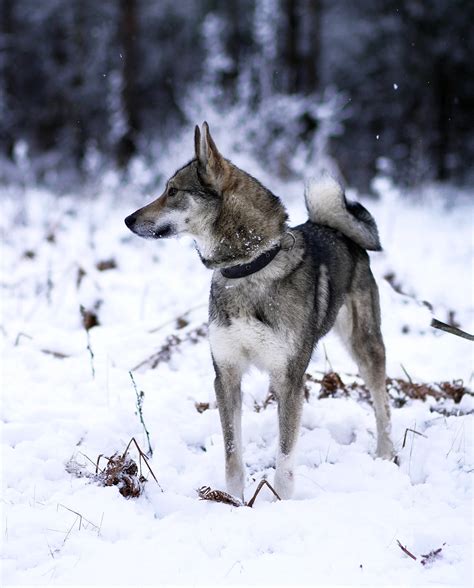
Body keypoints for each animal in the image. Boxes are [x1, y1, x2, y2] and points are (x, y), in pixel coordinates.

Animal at [124, 121, 394, 498]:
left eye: (173, 191)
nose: (128, 219)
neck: (247, 268)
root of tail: (336, 228)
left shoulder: (290, 379)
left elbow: (285, 456)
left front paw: (280, 501)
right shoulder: (227, 374)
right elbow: (232, 453)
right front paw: (233, 500)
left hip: (365, 346)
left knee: (382, 404)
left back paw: (386, 455)